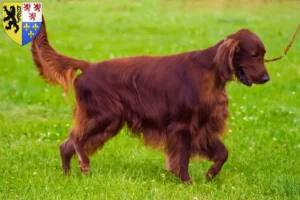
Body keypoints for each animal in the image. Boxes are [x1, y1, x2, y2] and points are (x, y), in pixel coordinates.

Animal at [30, 16, 270, 183]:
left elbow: (222, 153)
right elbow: (182, 158)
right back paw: (84, 164)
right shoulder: (183, 126)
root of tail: (88, 66)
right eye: (254, 55)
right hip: (104, 115)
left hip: (107, 122)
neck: (210, 70)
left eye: (263, 54)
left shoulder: (204, 125)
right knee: (75, 137)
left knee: (66, 145)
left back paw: (68, 176)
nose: (266, 78)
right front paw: (187, 181)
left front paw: (210, 175)